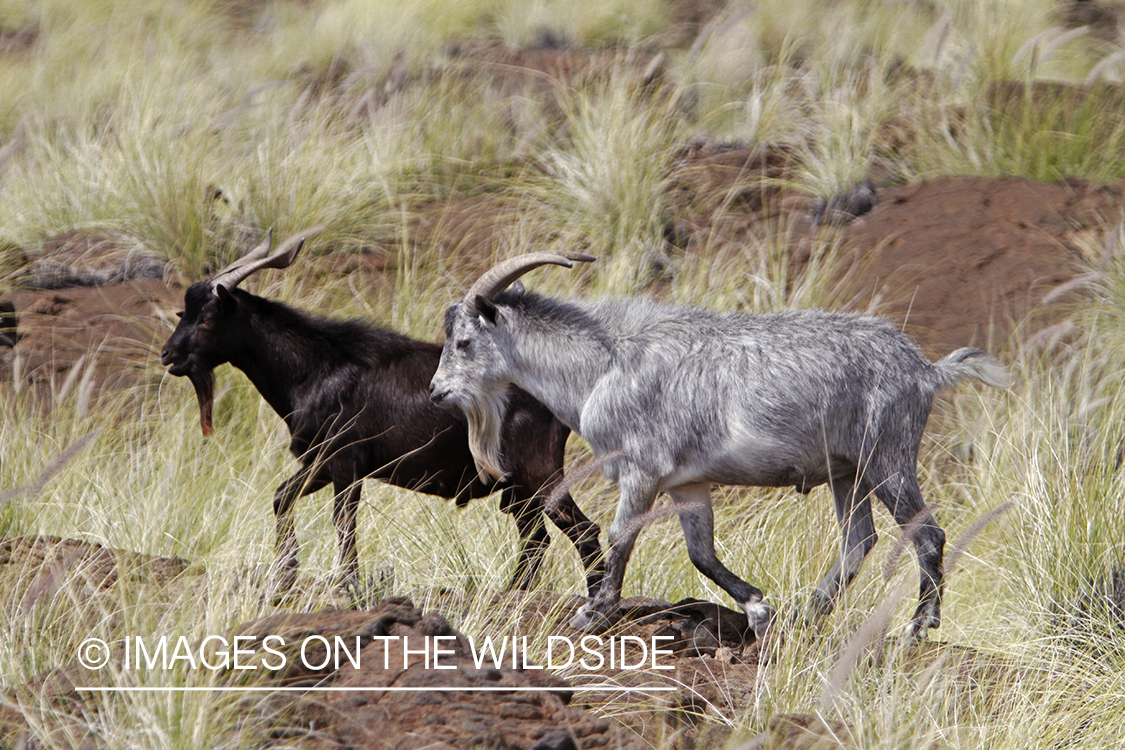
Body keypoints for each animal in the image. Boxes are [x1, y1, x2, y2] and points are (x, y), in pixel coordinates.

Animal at [162, 229, 603, 593]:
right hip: (517, 487)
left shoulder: (345, 461)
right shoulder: (321, 463)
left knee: (581, 531)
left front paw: (347, 584)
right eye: (183, 312)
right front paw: (287, 572)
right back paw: (514, 593)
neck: (317, 368)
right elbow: (281, 497)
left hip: (538, 471)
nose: (169, 355)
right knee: (537, 538)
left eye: (207, 318)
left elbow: (343, 523)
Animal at [429, 251, 1012, 638]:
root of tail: (925, 371)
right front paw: (757, 607)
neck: (603, 365)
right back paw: (805, 615)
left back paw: (918, 627)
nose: (436, 391)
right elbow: (701, 553)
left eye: (465, 342)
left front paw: (590, 615)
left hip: (887, 457)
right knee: (858, 542)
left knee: (928, 534)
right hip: (848, 472)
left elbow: (620, 538)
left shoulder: (642, 471)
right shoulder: (687, 484)